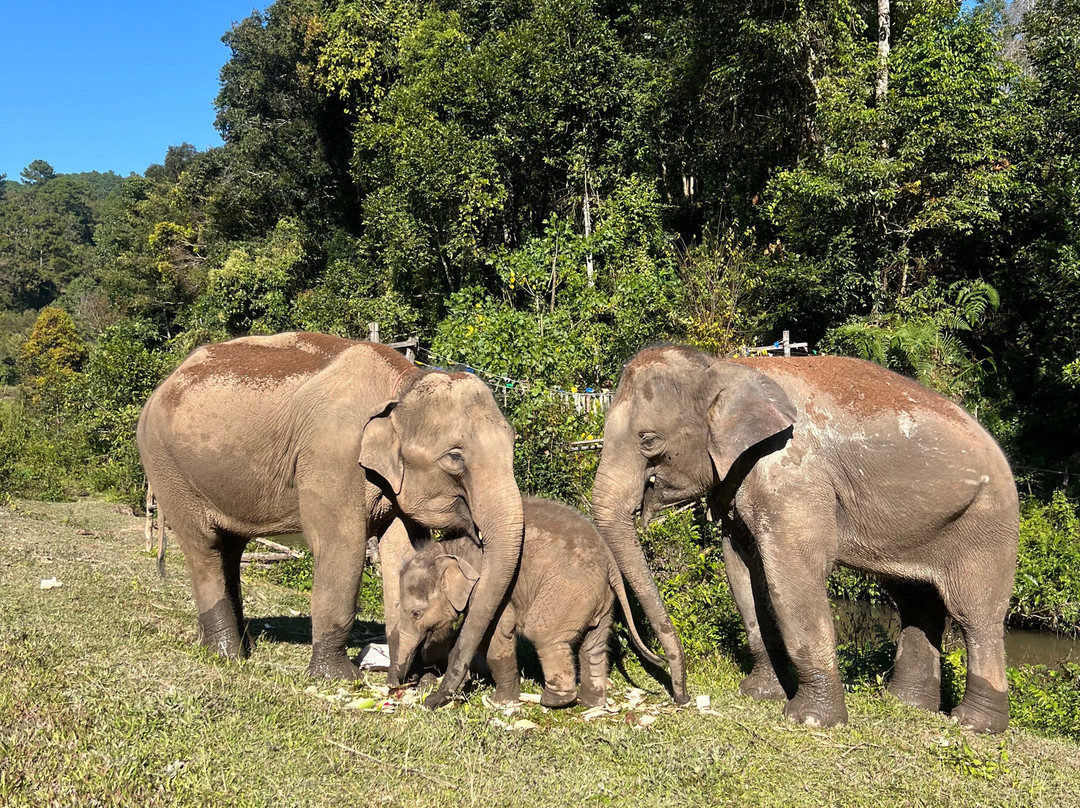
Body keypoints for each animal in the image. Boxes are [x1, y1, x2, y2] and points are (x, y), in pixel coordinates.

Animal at [136, 332, 523, 709]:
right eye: (455, 458)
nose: (432, 694)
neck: (403, 383)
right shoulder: (333, 456)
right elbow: (343, 546)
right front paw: (339, 678)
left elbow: (401, 552)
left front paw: (411, 677)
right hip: (168, 468)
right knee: (204, 545)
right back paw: (227, 655)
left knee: (229, 549)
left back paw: (229, 645)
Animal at [389, 497, 663, 707]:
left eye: (415, 613)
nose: (426, 700)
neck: (449, 549)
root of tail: (610, 562)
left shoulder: (490, 589)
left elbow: (496, 636)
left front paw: (501, 701)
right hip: (600, 598)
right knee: (594, 645)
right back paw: (591, 703)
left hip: (568, 591)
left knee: (543, 634)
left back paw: (553, 702)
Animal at [591, 345, 1019, 733]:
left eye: (648, 440)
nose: (680, 694)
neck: (723, 366)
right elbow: (743, 572)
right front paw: (759, 693)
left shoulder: (793, 474)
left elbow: (793, 574)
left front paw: (809, 720)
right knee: (916, 601)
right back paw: (905, 704)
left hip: (987, 521)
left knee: (974, 614)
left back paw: (973, 725)